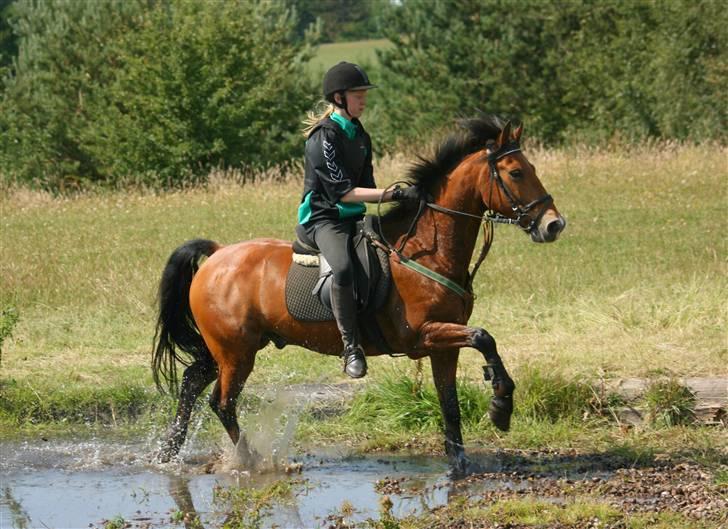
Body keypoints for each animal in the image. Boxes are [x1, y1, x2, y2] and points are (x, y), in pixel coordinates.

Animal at [151, 114, 564, 470]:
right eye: (516, 172)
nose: (554, 224)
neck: (426, 249)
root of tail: (218, 253)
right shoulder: (424, 334)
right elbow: (483, 337)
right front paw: (501, 405)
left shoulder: (442, 344)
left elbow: (450, 401)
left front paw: (461, 461)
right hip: (237, 353)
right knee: (221, 402)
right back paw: (251, 461)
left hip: (228, 347)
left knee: (191, 383)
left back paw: (168, 452)